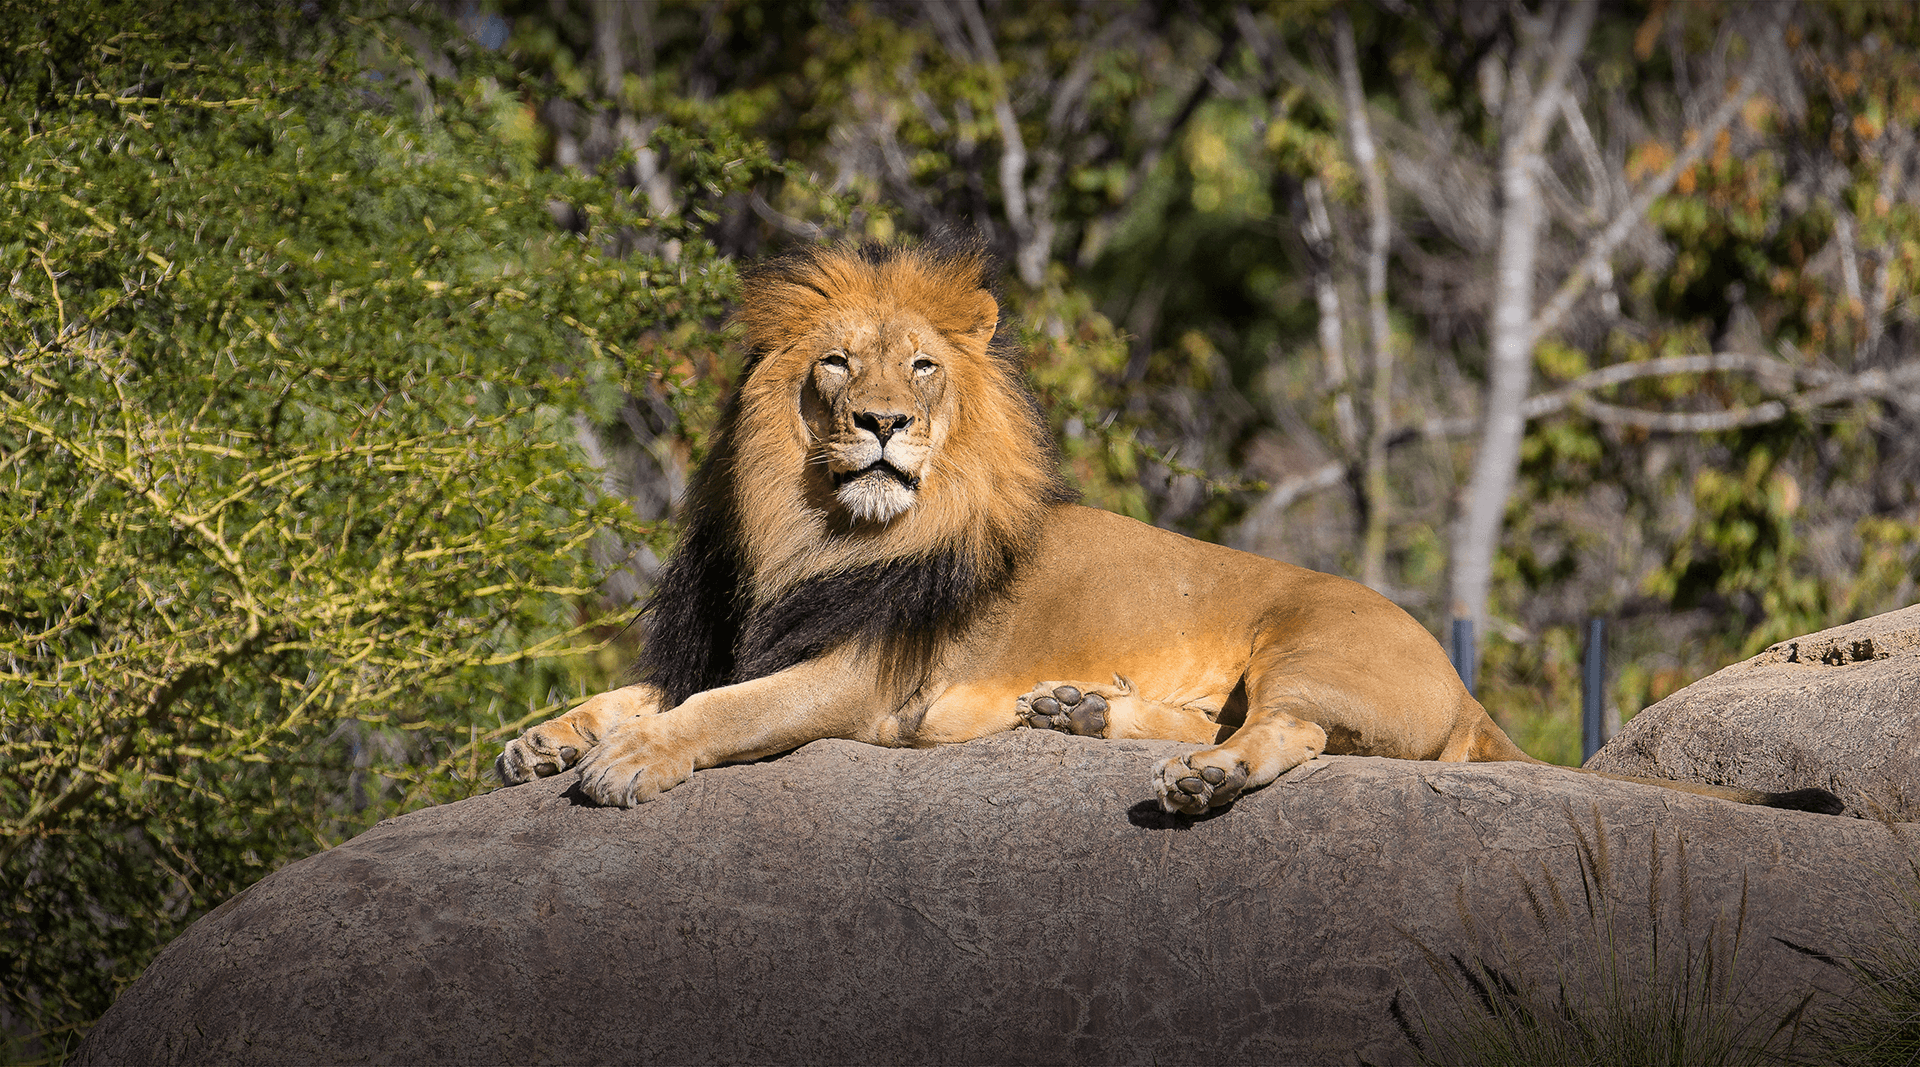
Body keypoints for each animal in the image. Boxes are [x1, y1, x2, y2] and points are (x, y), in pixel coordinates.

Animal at [496, 242, 1842, 818]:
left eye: (921, 366)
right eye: (836, 363)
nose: (881, 422)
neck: (816, 529)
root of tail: (1465, 685)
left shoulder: (851, 678)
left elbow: (717, 714)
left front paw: (626, 763)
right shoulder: (740, 631)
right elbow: (646, 688)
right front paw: (542, 739)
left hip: (1313, 645)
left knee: (1290, 735)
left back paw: (1198, 778)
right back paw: (1073, 711)